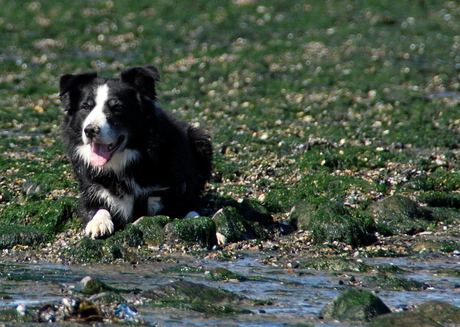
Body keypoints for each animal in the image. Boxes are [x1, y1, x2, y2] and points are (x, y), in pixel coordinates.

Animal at [58, 66, 214, 238]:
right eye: (86, 107)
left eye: (118, 108)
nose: (90, 130)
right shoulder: (92, 192)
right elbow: (98, 208)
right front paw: (99, 223)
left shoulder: (180, 192)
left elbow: (192, 212)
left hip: (201, 141)